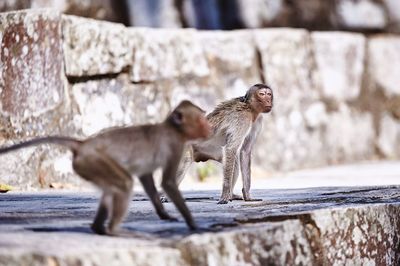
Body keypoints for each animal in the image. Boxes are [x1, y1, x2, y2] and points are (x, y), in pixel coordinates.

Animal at [0, 100, 212, 235]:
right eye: (200, 120)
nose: (208, 128)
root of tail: (83, 145)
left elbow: (150, 178)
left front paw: (164, 211)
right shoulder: (175, 147)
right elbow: (167, 181)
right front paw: (192, 223)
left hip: (92, 164)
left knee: (113, 187)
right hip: (95, 162)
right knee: (123, 184)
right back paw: (113, 229)